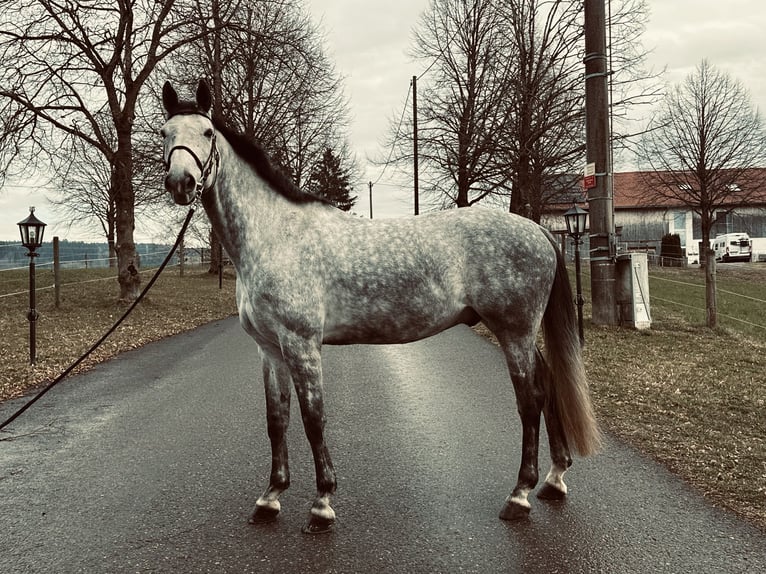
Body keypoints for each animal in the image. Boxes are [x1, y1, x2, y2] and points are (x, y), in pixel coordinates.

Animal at [162, 81, 604, 536]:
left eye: (207, 133)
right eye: (164, 132)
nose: (181, 182)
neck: (275, 236)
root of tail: (537, 230)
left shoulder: (302, 345)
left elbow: (313, 420)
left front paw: (322, 504)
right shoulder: (269, 349)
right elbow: (276, 420)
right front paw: (270, 498)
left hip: (514, 331)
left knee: (530, 400)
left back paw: (519, 495)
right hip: (521, 333)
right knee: (548, 385)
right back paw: (554, 479)